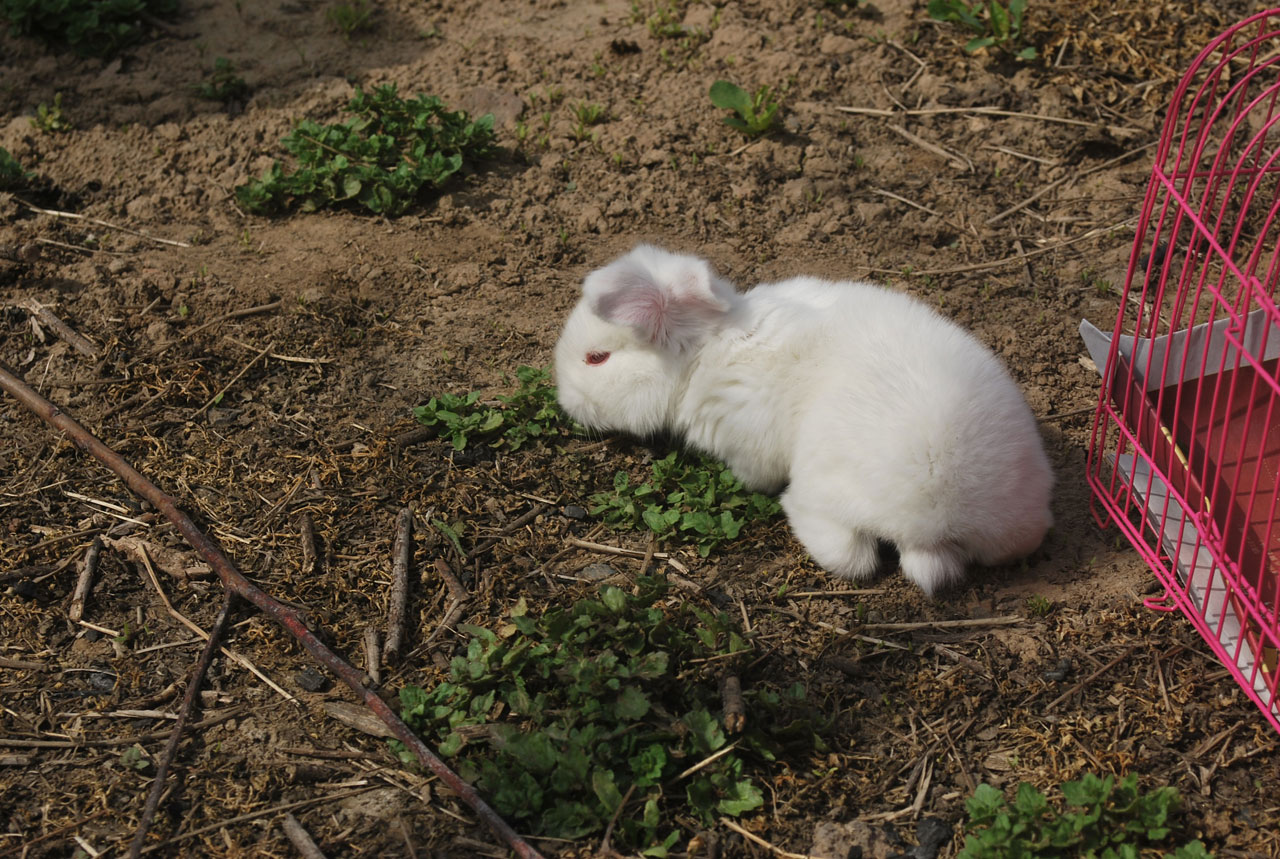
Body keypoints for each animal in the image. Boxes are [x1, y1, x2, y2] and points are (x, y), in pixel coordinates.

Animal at [555, 245, 1054, 599]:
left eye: (596, 358)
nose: (564, 400)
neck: (708, 348)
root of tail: (937, 528)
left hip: (824, 490)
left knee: (848, 554)